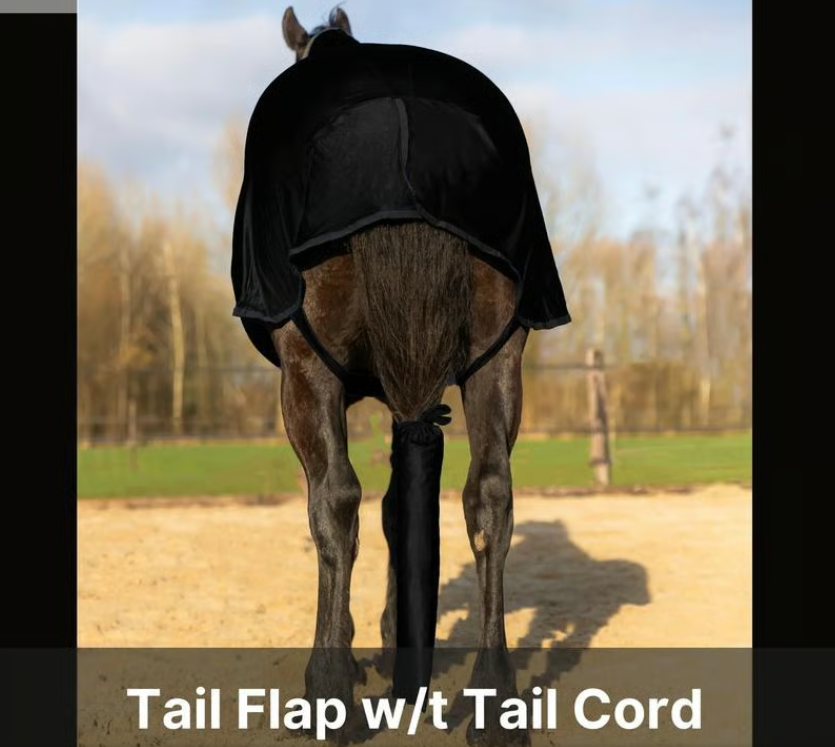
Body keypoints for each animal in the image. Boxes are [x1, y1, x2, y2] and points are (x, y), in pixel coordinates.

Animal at [232, 5, 571, 739]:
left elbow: (351, 507)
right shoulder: (412, 394)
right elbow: (399, 507)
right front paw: (395, 644)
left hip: (306, 373)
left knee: (334, 501)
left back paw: (327, 692)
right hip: (498, 360)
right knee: (489, 497)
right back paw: (494, 701)